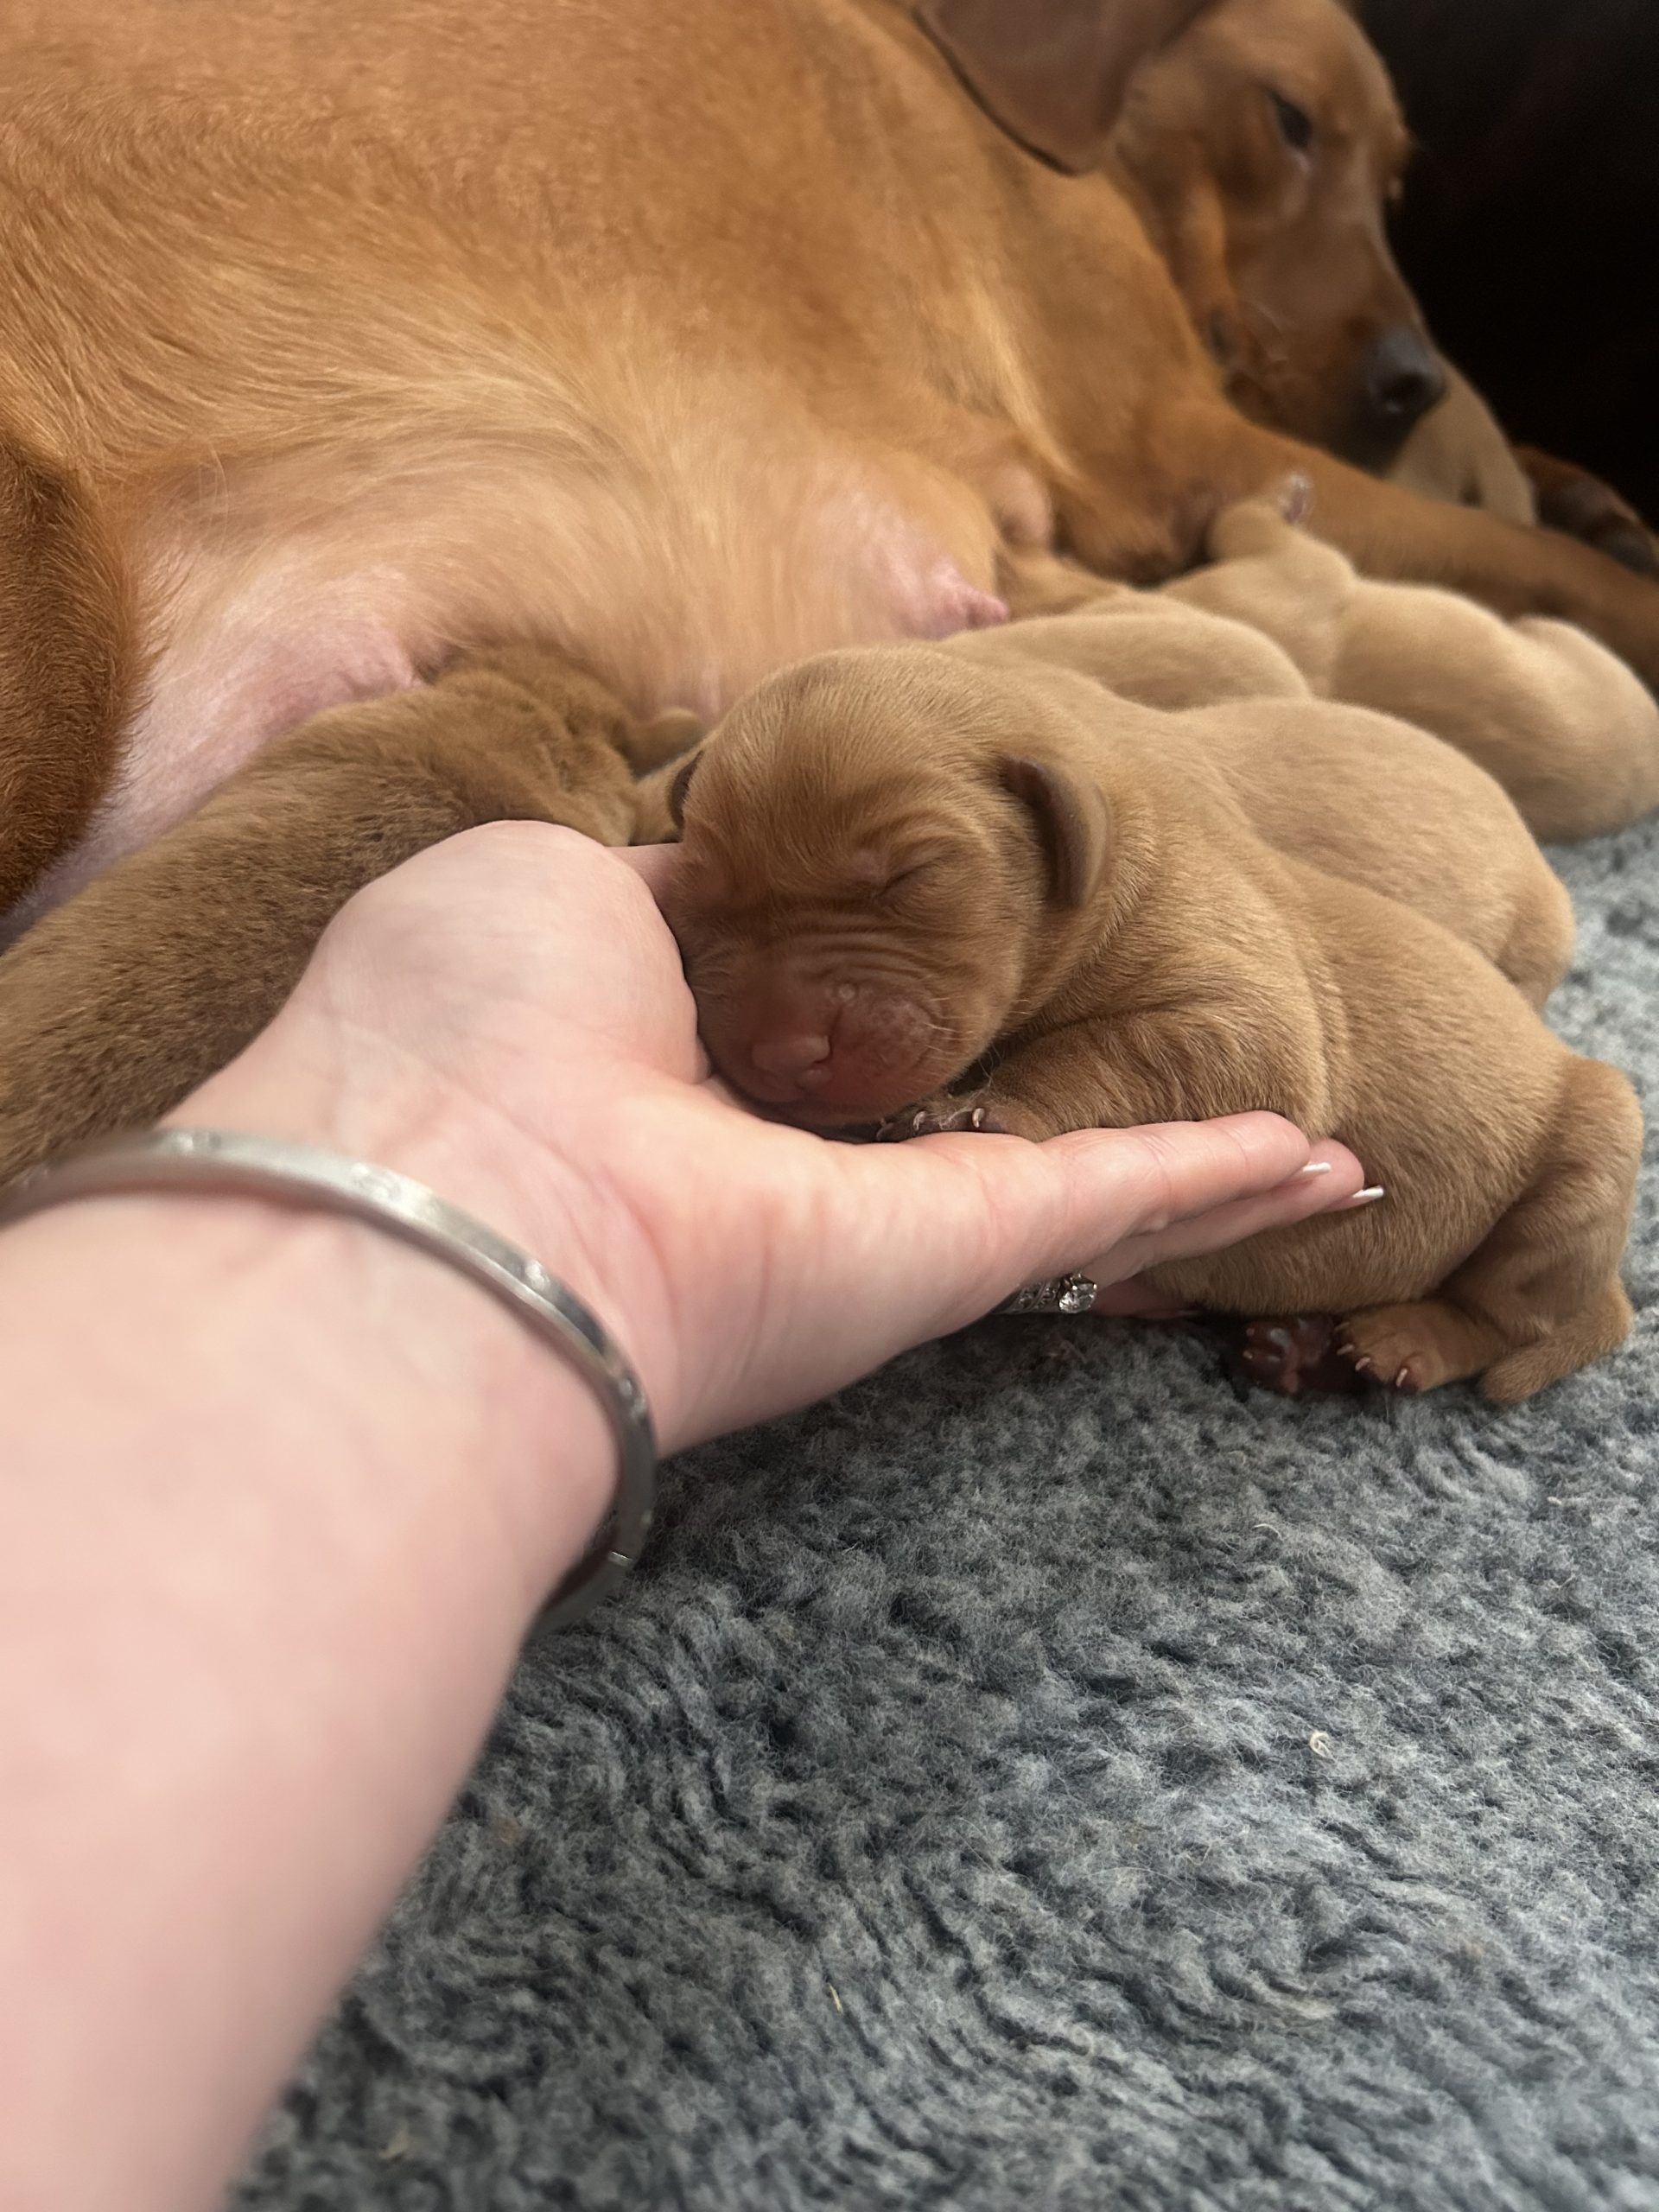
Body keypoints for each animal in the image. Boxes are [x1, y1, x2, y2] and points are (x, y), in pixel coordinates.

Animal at [668, 637, 1645, 1397]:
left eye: (913, 876)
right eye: (698, 889)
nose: (780, 1053)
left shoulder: (1247, 1017)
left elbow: (1100, 1048)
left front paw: (986, 1105)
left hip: (1590, 1159)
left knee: (1509, 1315)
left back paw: (1402, 1339)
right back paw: (1301, 1350)